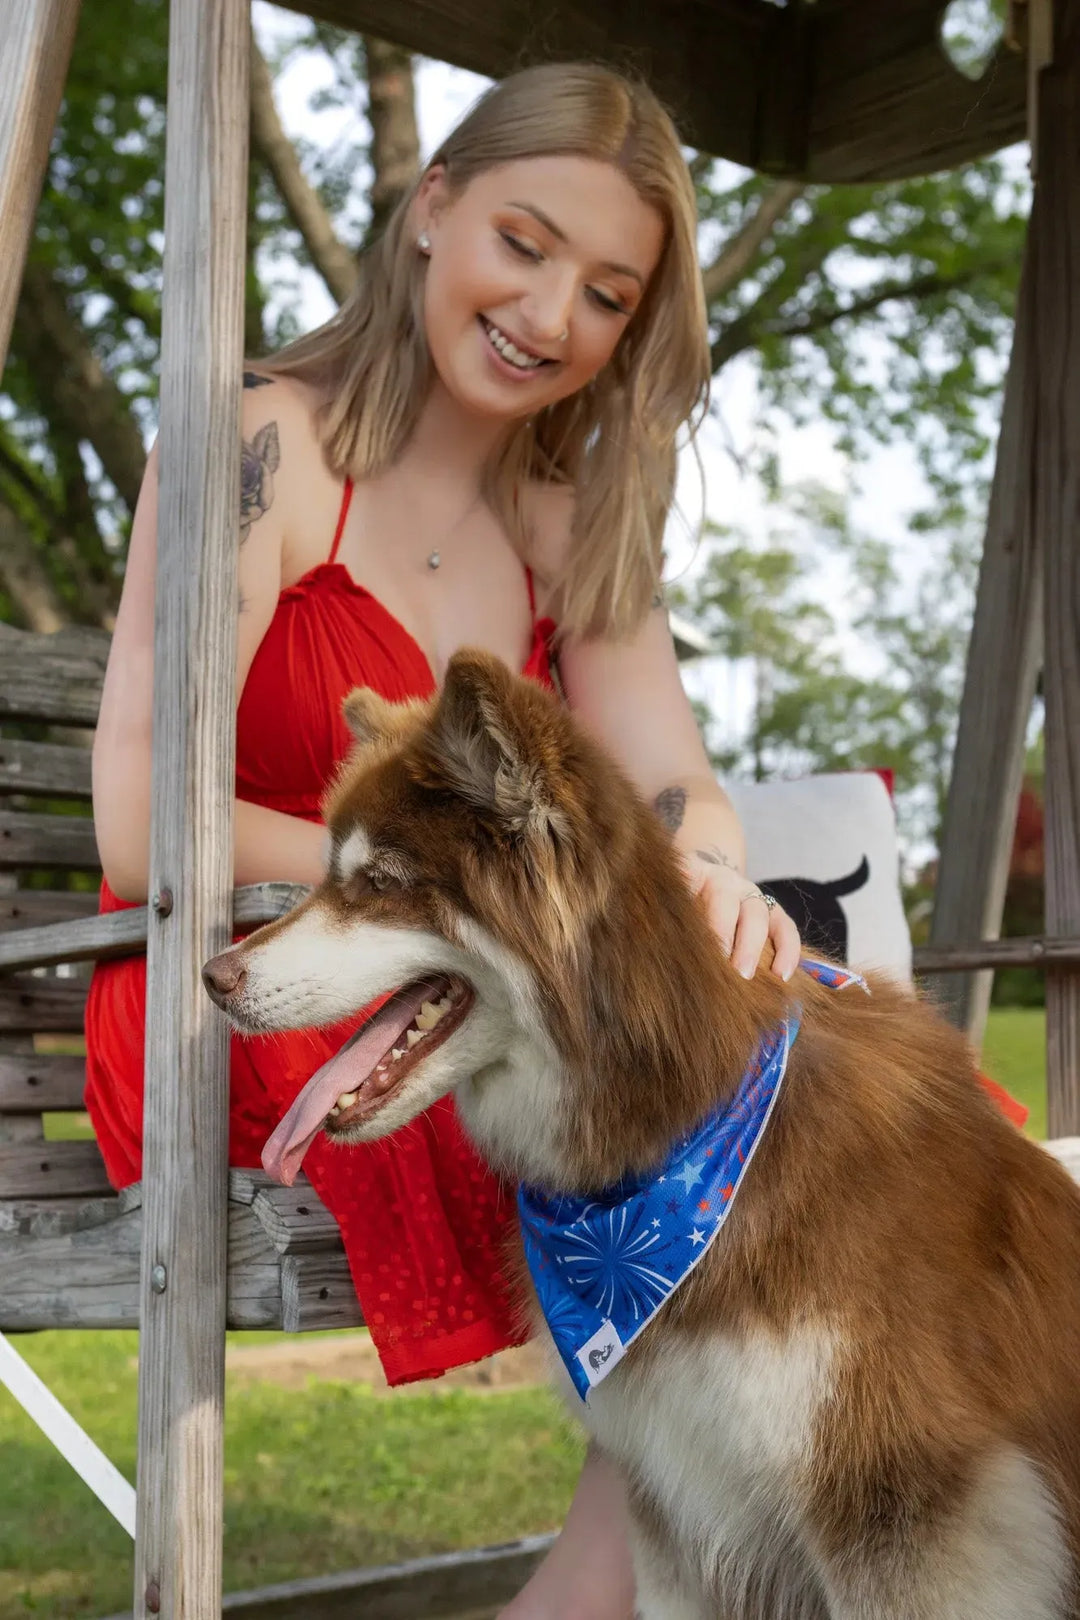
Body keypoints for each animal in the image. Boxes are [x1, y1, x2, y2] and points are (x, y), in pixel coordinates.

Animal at [204, 651, 1080, 1613]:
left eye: (379, 884)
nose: (212, 976)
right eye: (331, 875)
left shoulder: (911, 1514)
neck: (680, 1138)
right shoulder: (677, 1502)